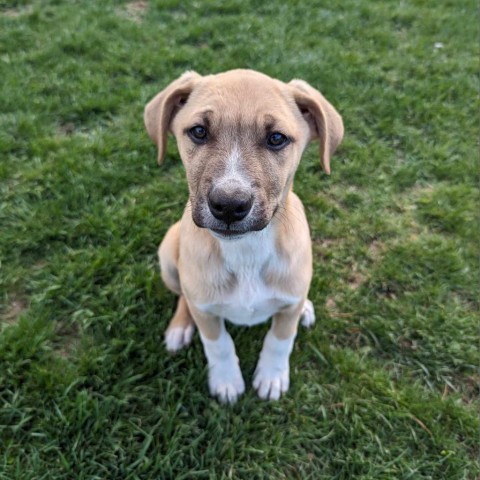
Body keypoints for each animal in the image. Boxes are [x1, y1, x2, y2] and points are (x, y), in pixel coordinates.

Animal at [144, 69, 344, 404]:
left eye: (276, 138)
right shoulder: (206, 313)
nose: (228, 205)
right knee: (183, 295)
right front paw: (226, 381)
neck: (246, 251)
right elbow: (218, 344)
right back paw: (180, 327)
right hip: (168, 257)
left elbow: (280, 339)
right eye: (198, 131)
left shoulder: (287, 306)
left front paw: (272, 377)